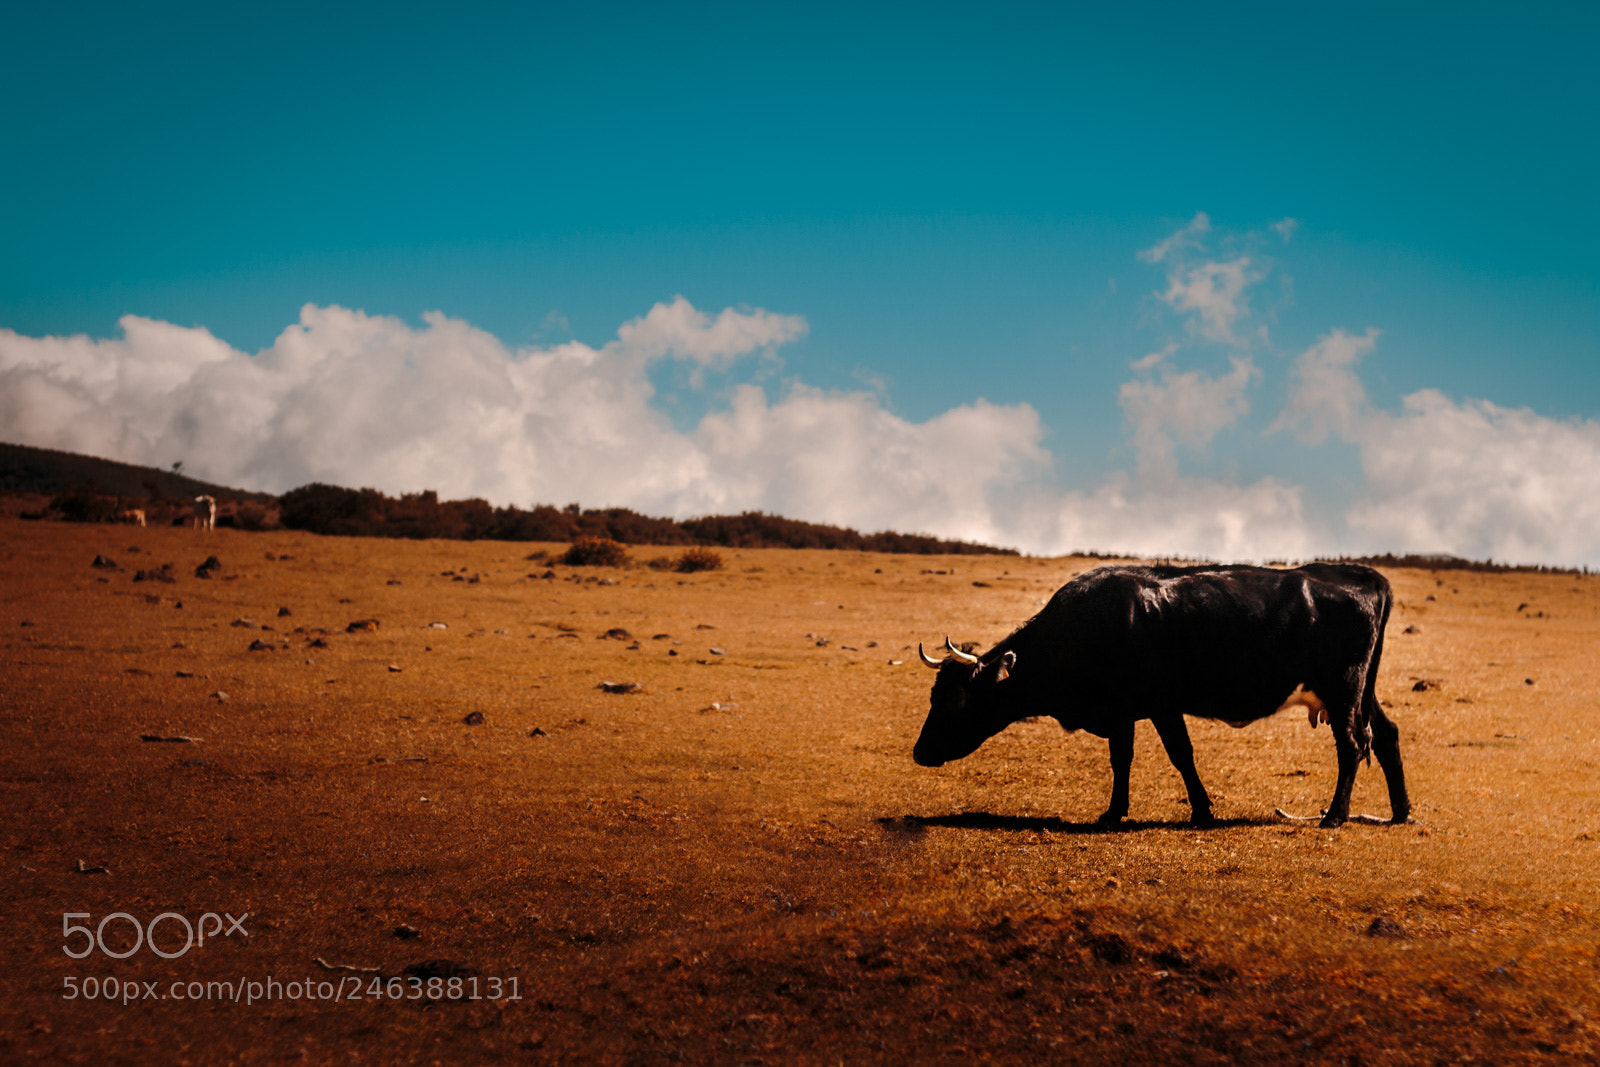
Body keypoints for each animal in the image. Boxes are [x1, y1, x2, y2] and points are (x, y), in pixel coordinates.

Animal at [911, 563, 1410, 829]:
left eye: (957, 700)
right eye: (934, 695)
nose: (919, 752)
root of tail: (1361, 576)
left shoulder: (1160, 705)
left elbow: (1179, 754)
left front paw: (1201, 811)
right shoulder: (1122, 714)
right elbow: (1123, 759)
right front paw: (1115, 812)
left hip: (1343, 689)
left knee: (1352, 744)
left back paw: (1335, 816)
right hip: (1362, 690)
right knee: (1385, 735)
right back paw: (1401, 812)